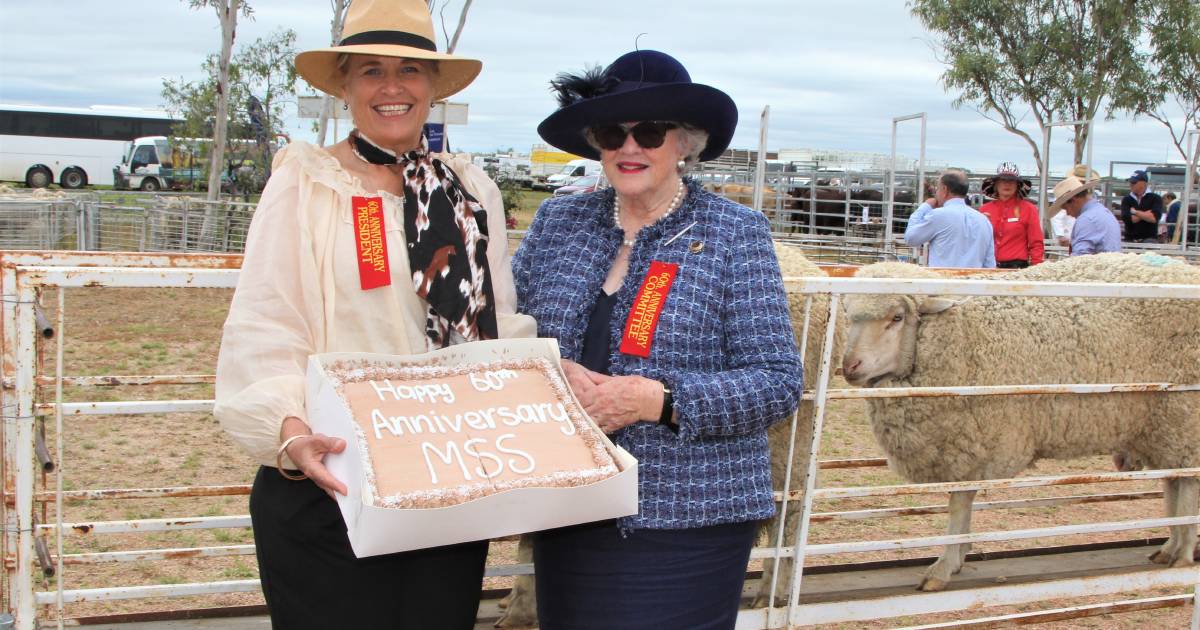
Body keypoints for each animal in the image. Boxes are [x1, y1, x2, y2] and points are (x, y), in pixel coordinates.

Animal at [840, 250, 1195, 590]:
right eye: (849, 317)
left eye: (896, 317)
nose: (849, 366)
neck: (964, 334)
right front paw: (958, 557)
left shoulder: (972, 441)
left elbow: (959, 504)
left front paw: (943, 567)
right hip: (1161, 426)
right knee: (1174, 482)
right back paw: (1169, 547)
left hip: (1183, 415)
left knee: (1188, 483)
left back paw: (1184, 553)